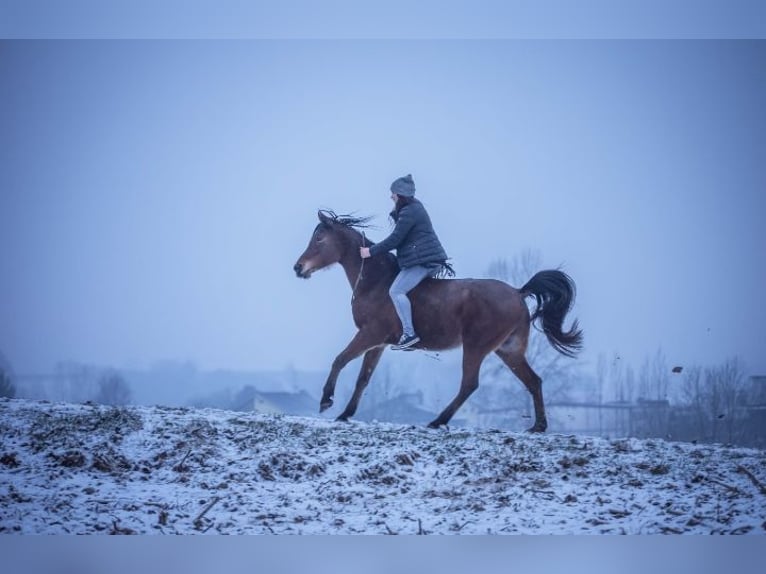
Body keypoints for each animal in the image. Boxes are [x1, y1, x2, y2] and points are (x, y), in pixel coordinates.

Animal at [294, 212, 584, 432]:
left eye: (319, 238)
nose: (298, 268)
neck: (376, 282)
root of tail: (518, 292)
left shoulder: (370, 334)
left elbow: (340, 360)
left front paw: (327, 401)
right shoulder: (378, 343)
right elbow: (363, 379)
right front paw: (345, 413)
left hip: (477, 346)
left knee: (470, 384)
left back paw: (437, 420)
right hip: (509, 350)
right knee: (534, 381)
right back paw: (538, 426)